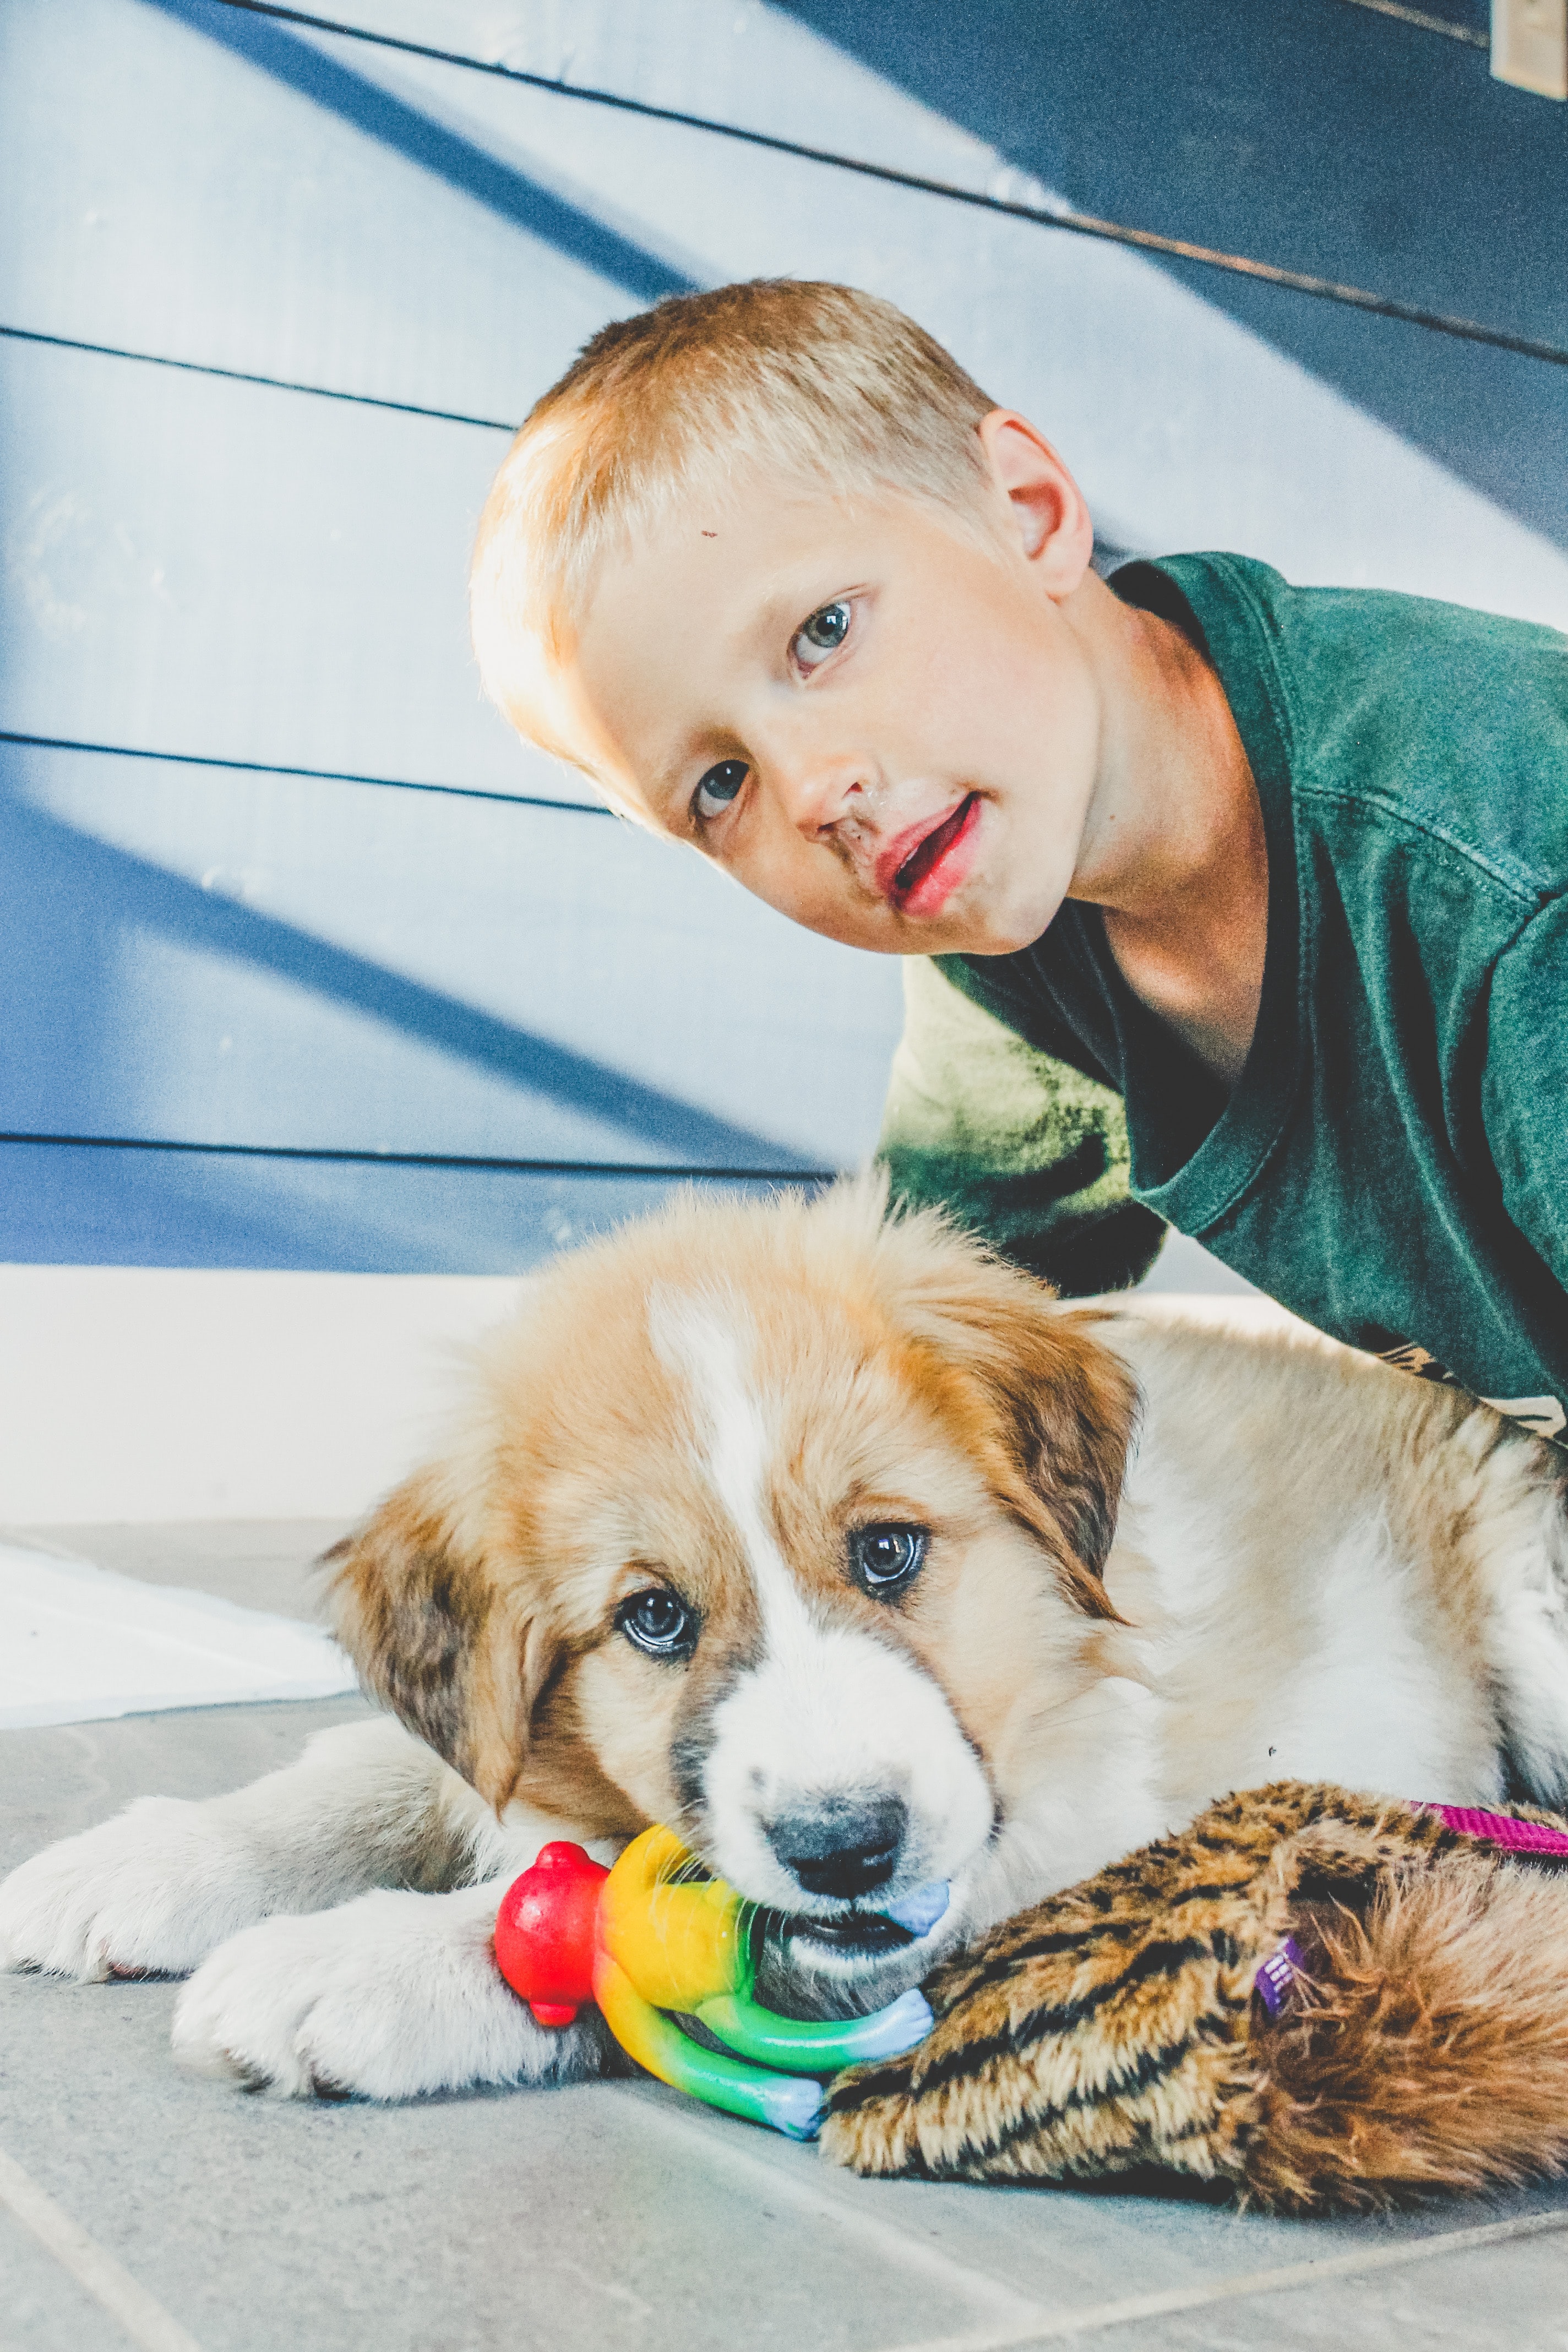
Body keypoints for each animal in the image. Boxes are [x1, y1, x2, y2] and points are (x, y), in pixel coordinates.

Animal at [3, 1185, 1568, 2107]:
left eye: (886, 1551)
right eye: (651, 1617)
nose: (845, 1847)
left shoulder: (1036, 1836)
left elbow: (635, 1934)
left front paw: (351, 1966)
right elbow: (354, 1775)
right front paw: (133, 1868)